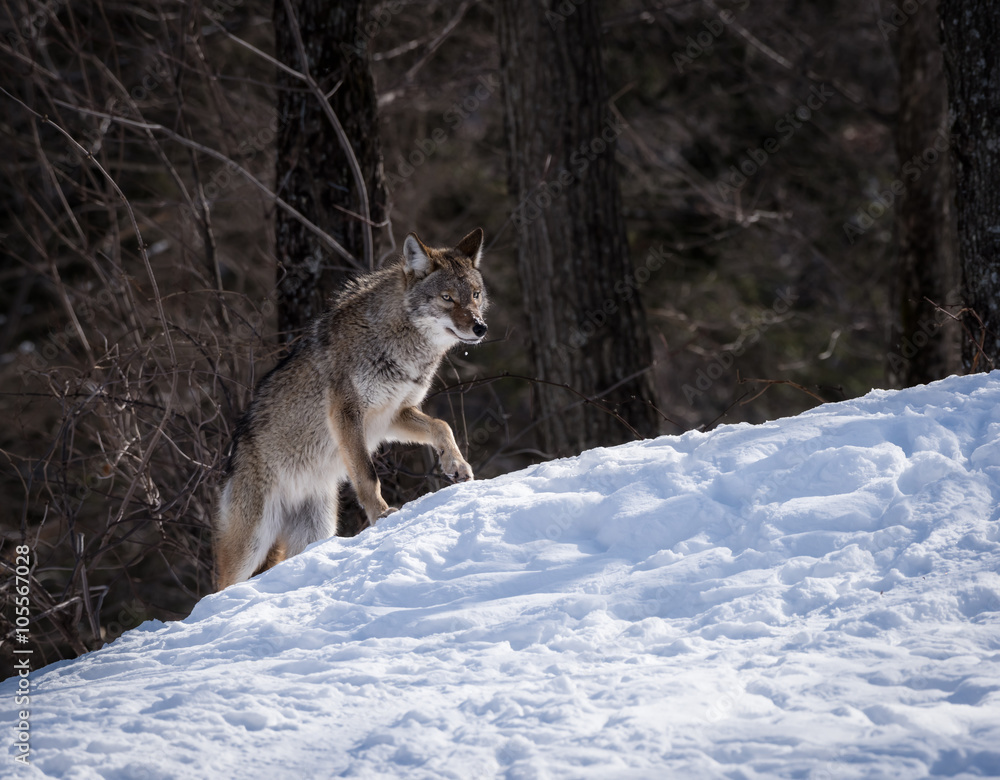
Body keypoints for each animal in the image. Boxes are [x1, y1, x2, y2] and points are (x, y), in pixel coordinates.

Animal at [214, 228, 488, 590]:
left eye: (475, 295)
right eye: (447, 298)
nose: (480, 327)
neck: (403, 347)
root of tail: (233, 457)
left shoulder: (394, 415)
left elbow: (442, 425)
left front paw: (456, 465)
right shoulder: (346, 413)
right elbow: (367, 475)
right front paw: (382, 514)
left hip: (315, 530)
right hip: (251, 544)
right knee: (219, 586)